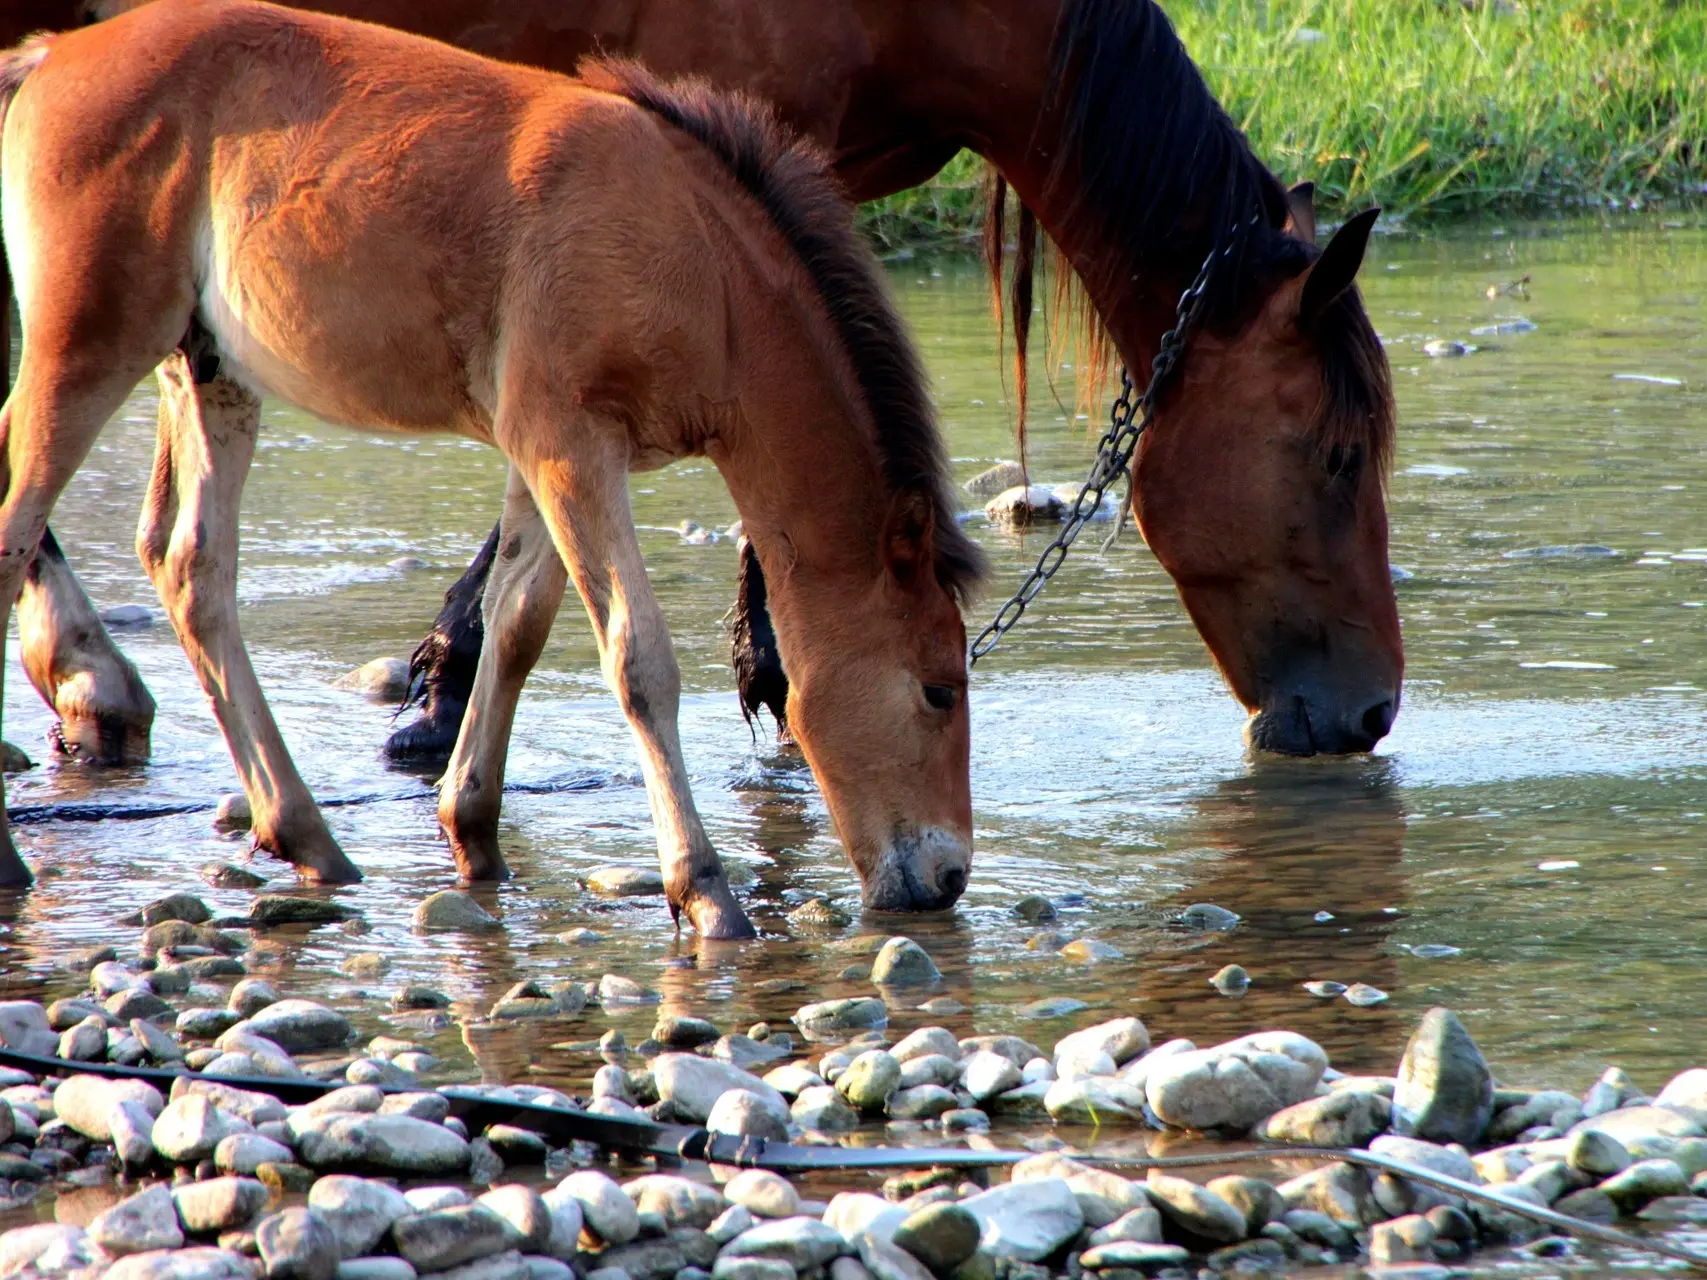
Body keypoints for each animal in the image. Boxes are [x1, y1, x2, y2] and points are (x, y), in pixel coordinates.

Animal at [0, 0, 990, 935]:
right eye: (939, 689)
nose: (948, 879)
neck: (700, 263)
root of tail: (50, 56)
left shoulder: (547, 453)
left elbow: (516, 624)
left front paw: (473, 835)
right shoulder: (570, 445)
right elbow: (638, 660)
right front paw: (704, 891)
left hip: (207, 373)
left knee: (189, 566)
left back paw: (307, 837)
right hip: (85, 350)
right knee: (22, 529)